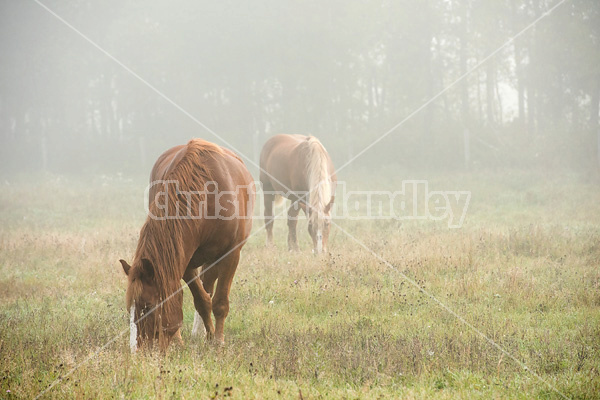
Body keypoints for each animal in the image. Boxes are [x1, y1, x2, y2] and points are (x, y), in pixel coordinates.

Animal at [120, 139, 254, 352]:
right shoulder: (184, 258)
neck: (208, 198)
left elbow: (219, 302)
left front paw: (217, 341)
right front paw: (196, 337)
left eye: (148, 307)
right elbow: (201, 300)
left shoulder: (231, 254)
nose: (137, 351)